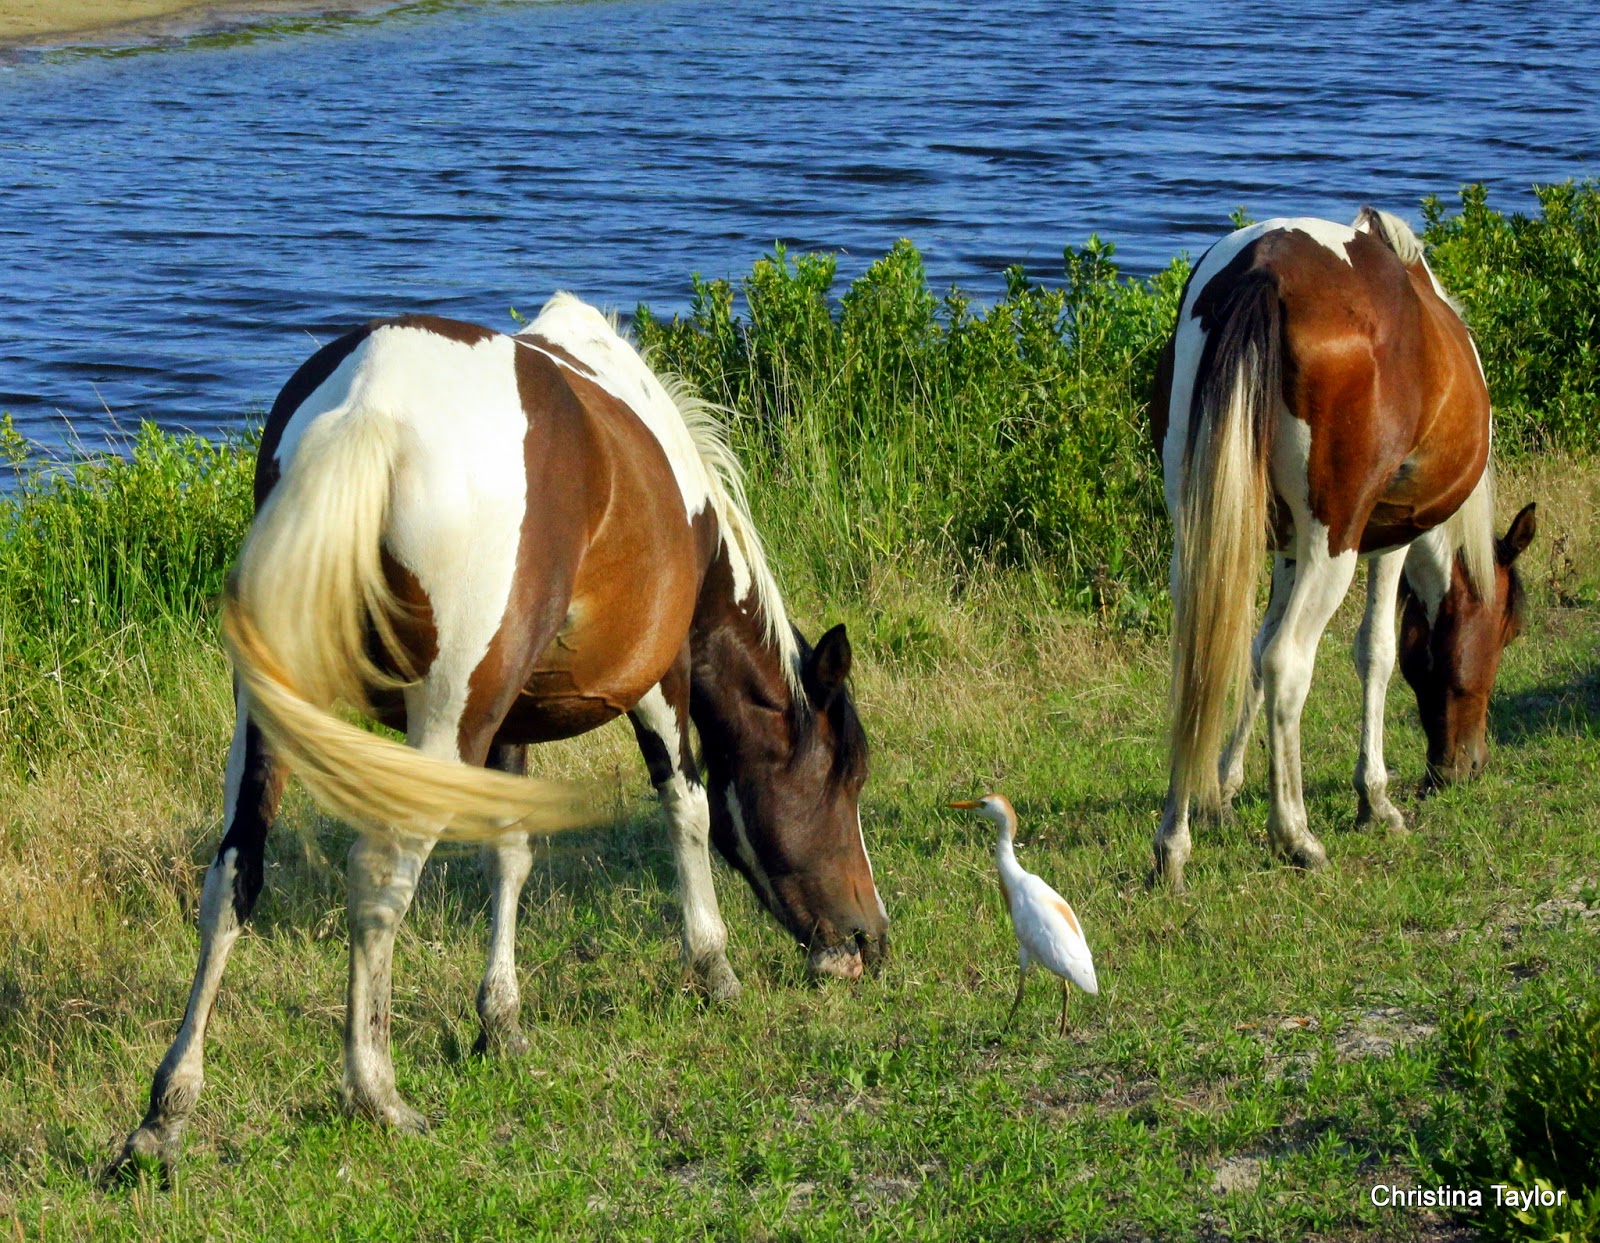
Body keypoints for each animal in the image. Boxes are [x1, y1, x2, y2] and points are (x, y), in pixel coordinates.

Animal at [113, 294, 889, 1172]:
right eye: (845, 780)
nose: (869, 938)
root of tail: (368, 406)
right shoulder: (658, 680)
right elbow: (686, 808)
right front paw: (713, 965)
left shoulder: (510, 721)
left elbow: (510, 852)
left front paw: (502, 1021)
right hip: (446, 719)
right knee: (379, 878)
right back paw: (377, 1093)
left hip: (276, 711)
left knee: (234, 874)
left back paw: (166, 1113)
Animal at [1148, 207, 1536, 891]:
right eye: (1507, 632)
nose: (1465, 767)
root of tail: (1263, 268)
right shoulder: (1389, 540)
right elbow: (1375, 653)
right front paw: (1374, 800)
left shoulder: (1285, 548)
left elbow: (1251, 652)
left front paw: (1224, 789)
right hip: (1337, 544)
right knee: (1290, 663)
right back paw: (1296, 837)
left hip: (1202, 535)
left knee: (1200, 662)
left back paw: (1174, 842)